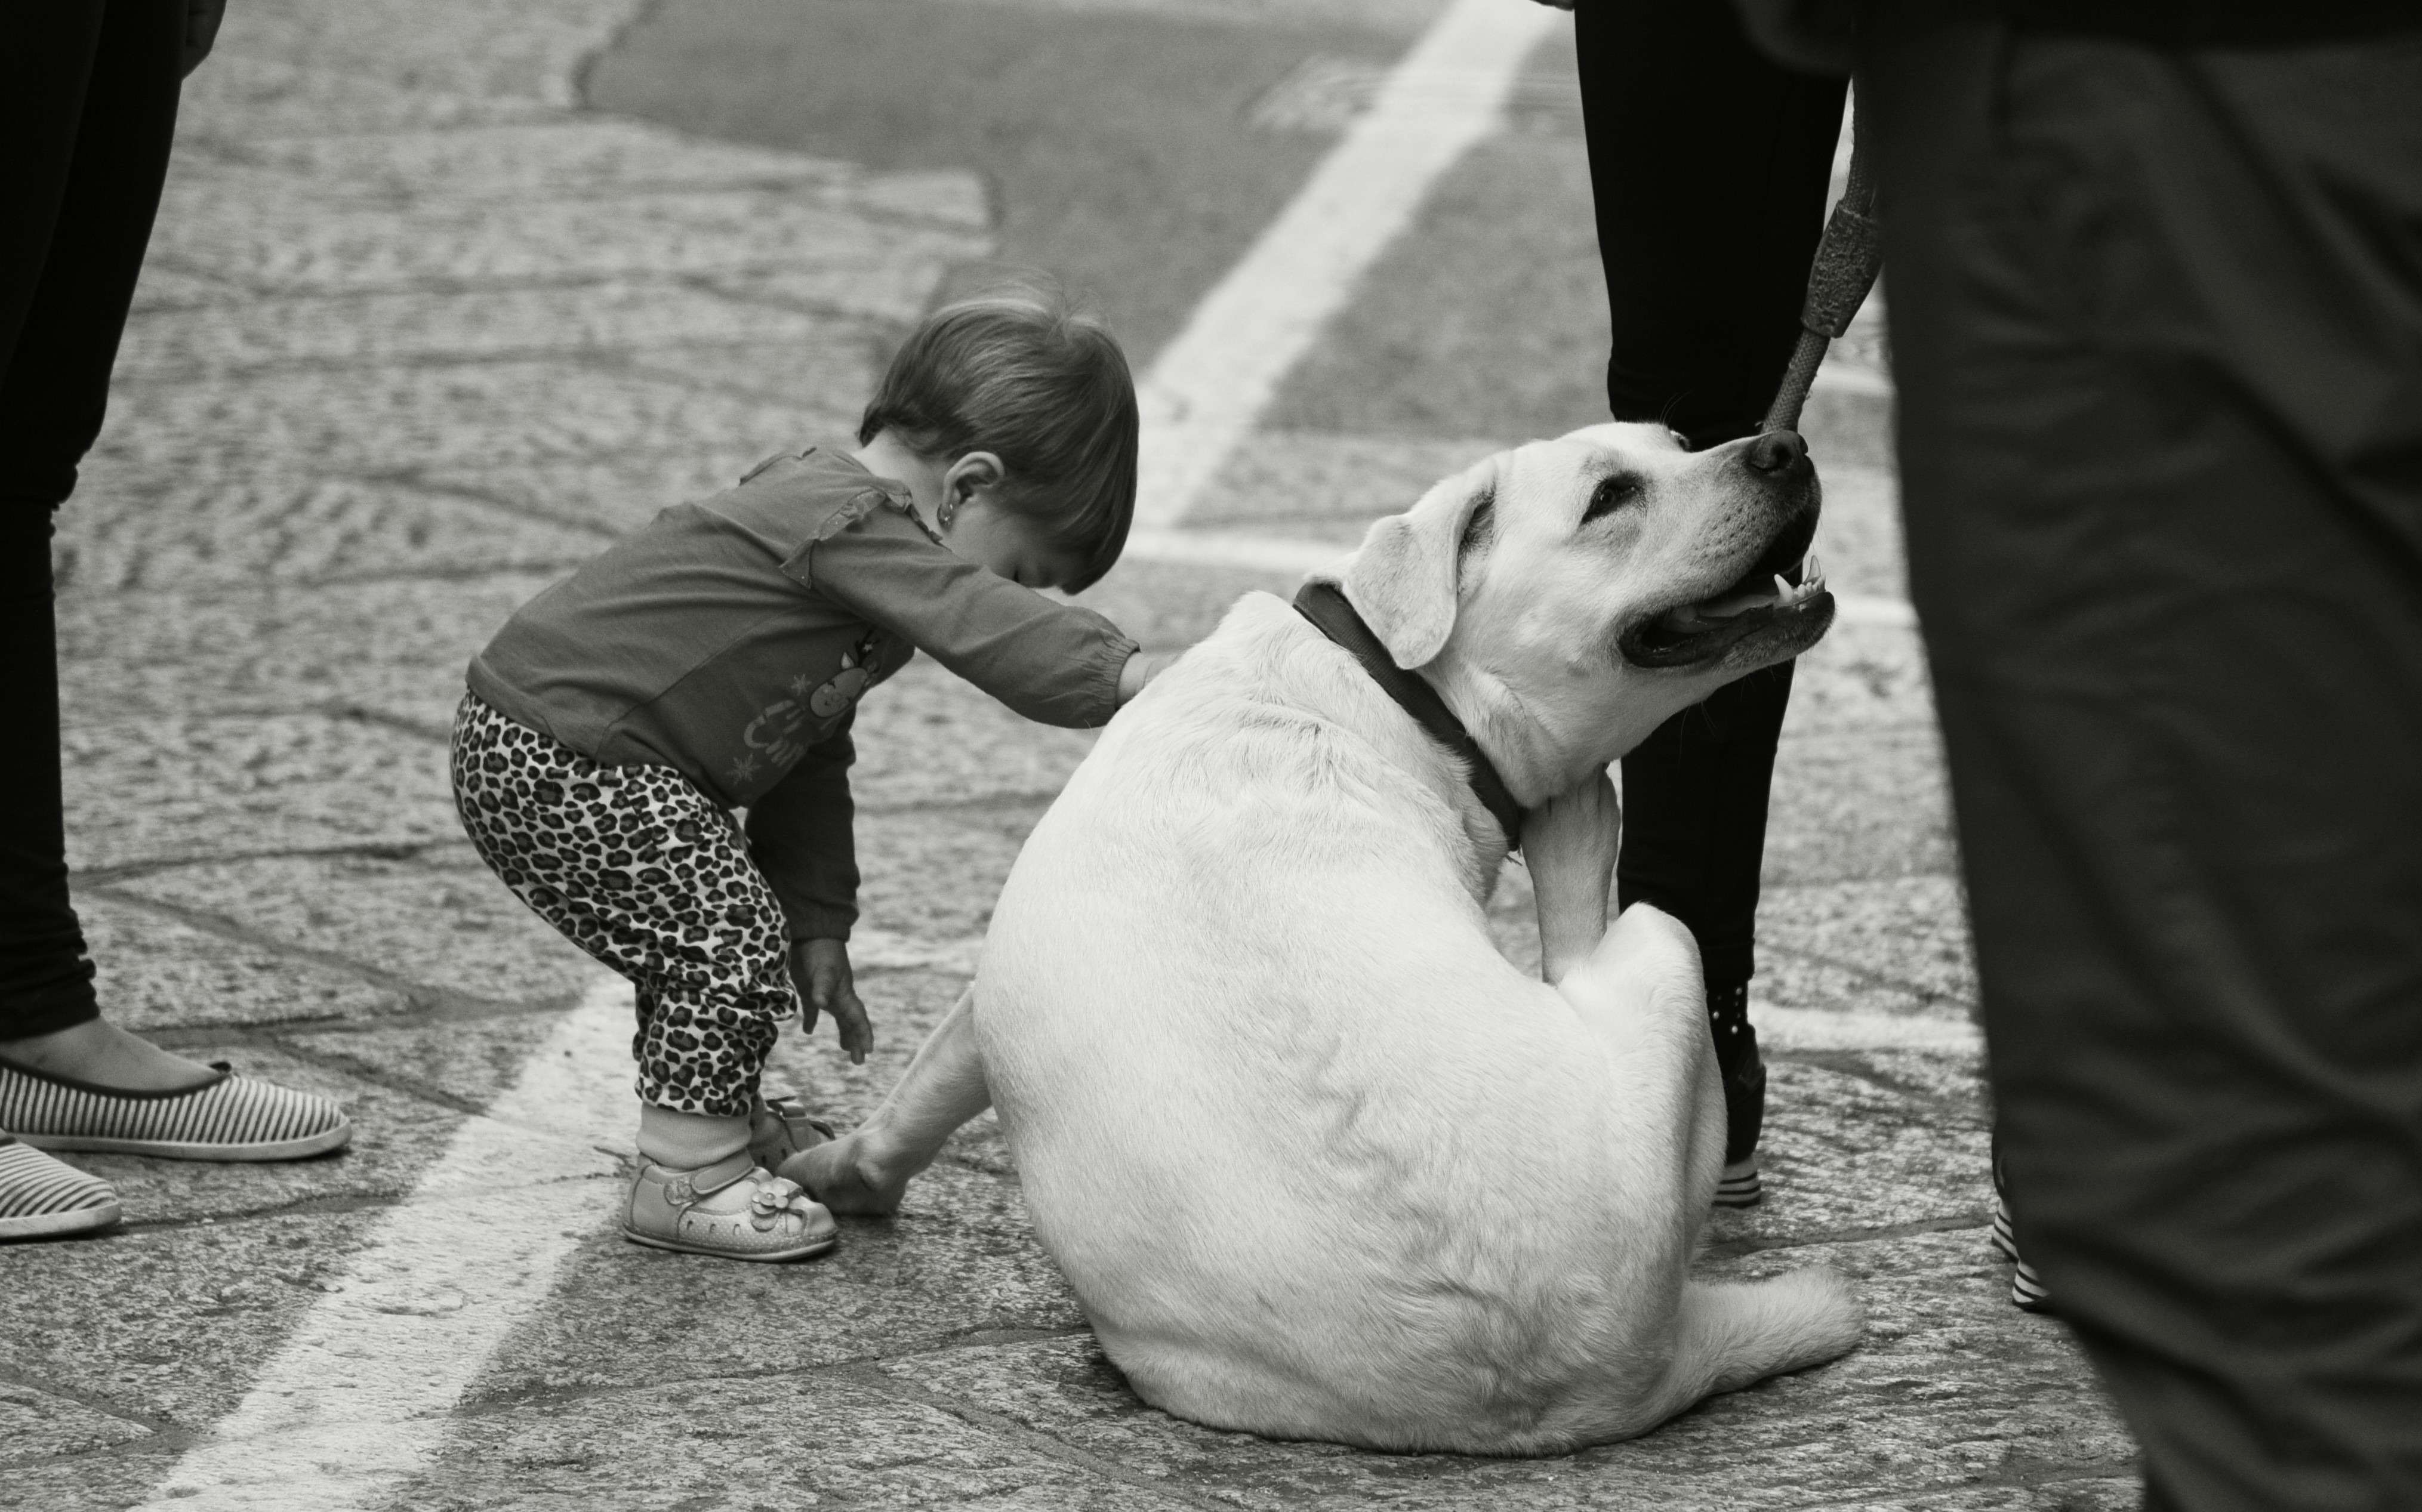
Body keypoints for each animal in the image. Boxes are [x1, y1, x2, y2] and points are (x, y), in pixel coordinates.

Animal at [794, 421, 1850, 1454]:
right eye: (1610, 496)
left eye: (1676, 441)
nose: (1784, 447)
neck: (1392, 686)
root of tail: (1630, 1368)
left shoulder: (980, 1002)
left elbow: (916, 1097)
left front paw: (840, 1172)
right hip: (1662, 945)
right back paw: (1577, 820)